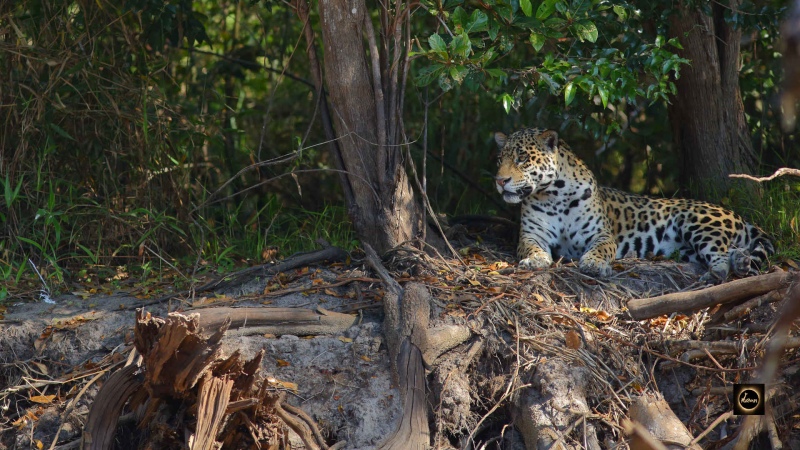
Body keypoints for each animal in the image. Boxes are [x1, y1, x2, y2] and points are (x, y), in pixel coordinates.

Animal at [493, 127, 774, 281]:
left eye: (521, 158)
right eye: (500, 159)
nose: (500, 180)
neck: (554, 196)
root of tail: (736, 214)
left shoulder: (601, 234)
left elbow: (601, 249)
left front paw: (593, 263)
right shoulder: (532, 235)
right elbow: (531, 248)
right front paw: (535, 261)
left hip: (698, 224)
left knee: (720, 256)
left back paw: (715, 274)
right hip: (687, 249)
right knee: (730, 251)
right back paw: (741, 262)